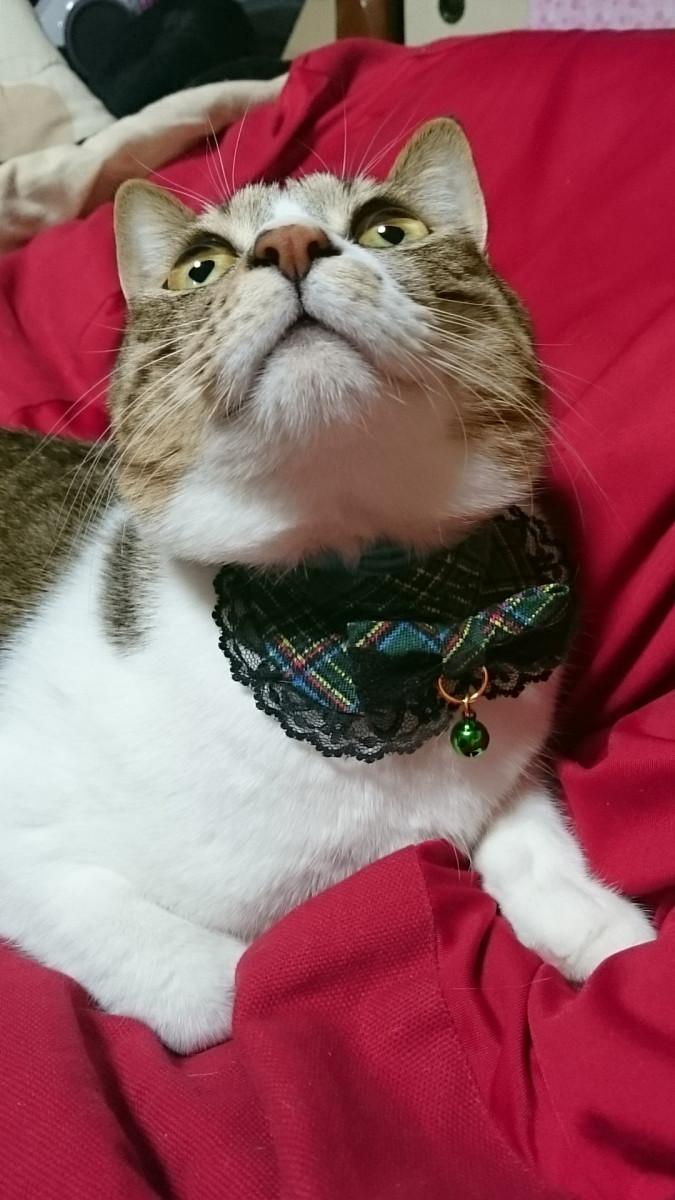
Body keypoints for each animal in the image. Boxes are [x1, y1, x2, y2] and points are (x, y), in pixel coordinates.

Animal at [0, 119, 654, 1053]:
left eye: (390, 228)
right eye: (199, 267)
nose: (289, 243)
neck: (364, 616)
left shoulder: (504, 754)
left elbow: (523, 832)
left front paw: (594, 923)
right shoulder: (27, 839)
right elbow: (220, 984)